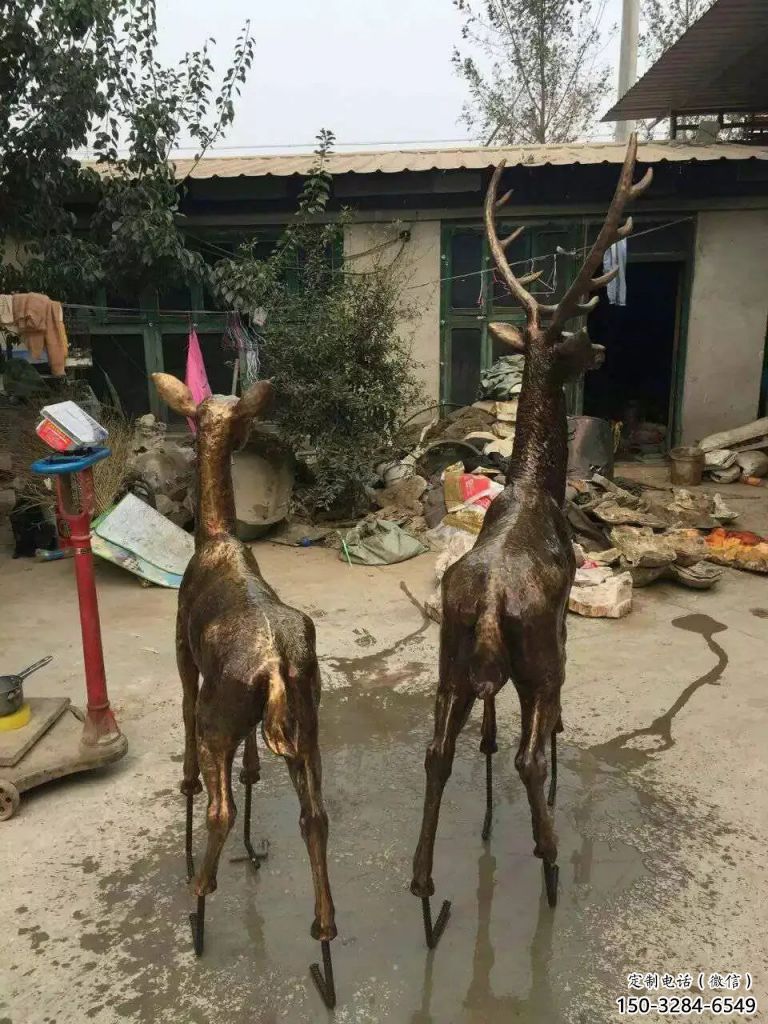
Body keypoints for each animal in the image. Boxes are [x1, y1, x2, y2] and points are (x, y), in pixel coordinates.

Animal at [151, 373, 338, 1008]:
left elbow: (184, 719)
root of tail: (279, 665)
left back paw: (198, 902)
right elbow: (256, 767)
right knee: (315, 816)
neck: (213, 539)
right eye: (227, 415)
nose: (246, 434)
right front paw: (256, 848)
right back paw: (325, 940)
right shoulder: (258, 716)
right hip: (307, 722)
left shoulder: (186, 655)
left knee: (220, 807)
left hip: (221, 716)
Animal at [410, 134, 652, 948]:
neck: (537, 490)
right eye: (575, 335)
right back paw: (549, 863)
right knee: (526, 751)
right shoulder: (564, 618)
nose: (604, 354)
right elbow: (545, 726)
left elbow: (481, 740)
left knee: (436, 752)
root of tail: (489, 607)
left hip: (450, 655)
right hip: (535, 654)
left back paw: (424, 889)